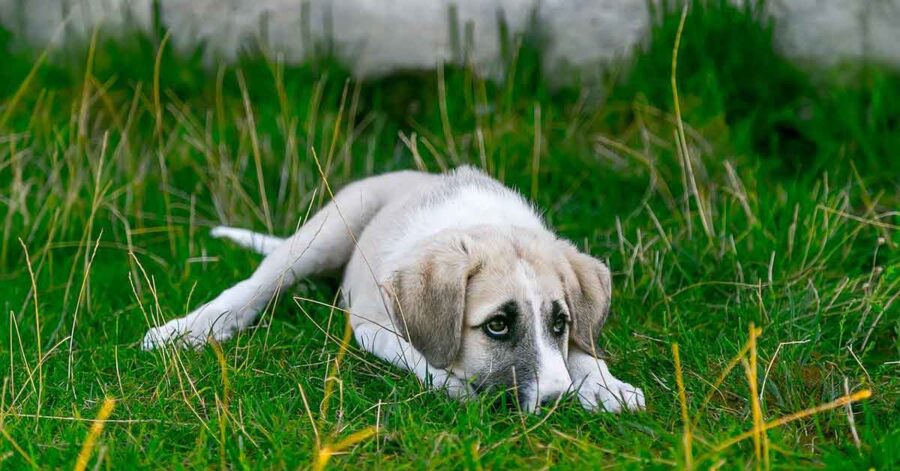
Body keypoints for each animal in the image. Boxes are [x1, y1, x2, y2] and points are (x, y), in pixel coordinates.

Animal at [141, 166, 644, 412]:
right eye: (498, 325)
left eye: (560, 323)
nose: (558, 402)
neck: (483, 223)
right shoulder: (369, 324)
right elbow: (421, 355)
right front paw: (454, 385)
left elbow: (582, 350)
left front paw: (606, 385)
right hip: (326, 231)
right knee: (256, 285)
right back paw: (187, 330)